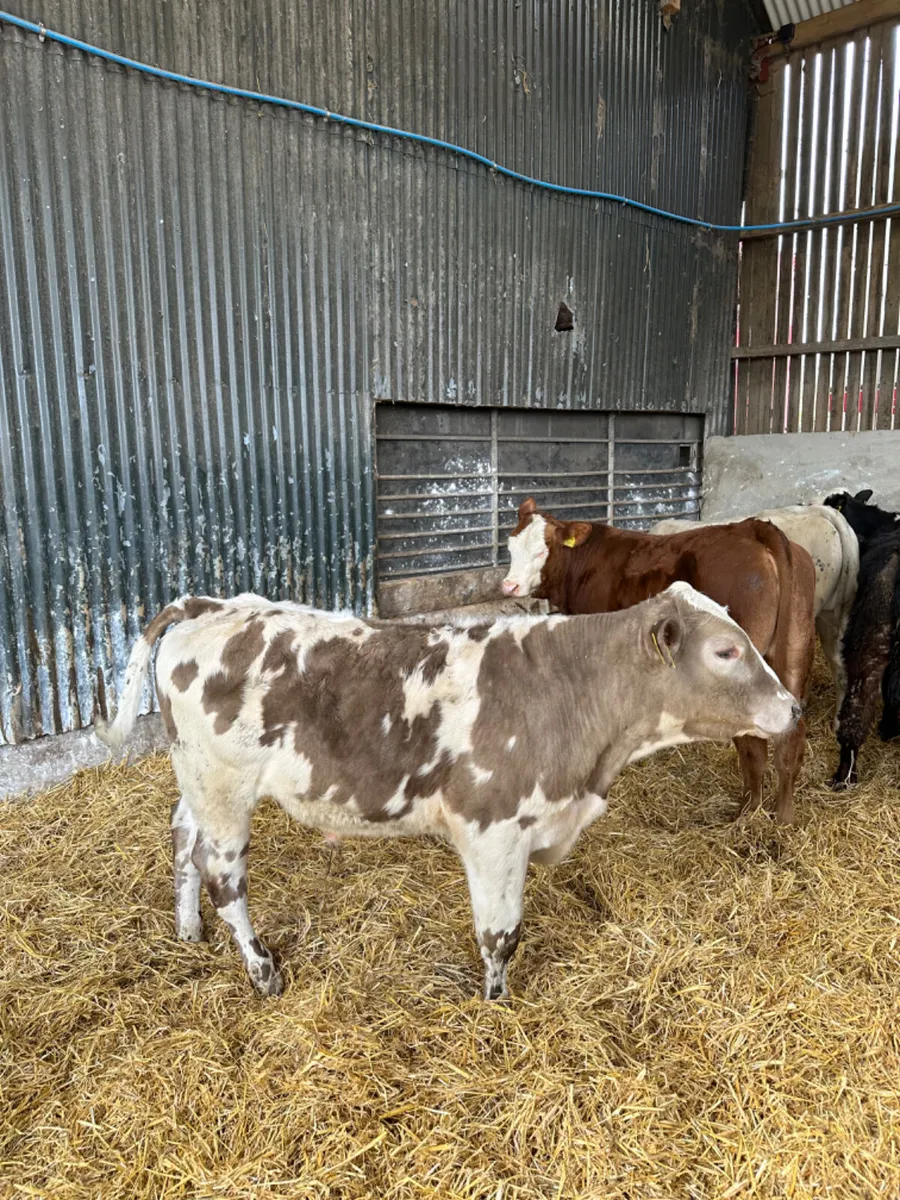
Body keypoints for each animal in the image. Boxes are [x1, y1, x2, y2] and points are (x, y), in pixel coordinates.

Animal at [94, 585, 800, 1002]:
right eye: (726, 650)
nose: (794, 707)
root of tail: (207, 604)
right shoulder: (494, 830)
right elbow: (500, 934)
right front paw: (496, 1004)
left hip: (195, 779)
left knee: (182, 837)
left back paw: (188, 932)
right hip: (224, 784)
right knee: (225, 877)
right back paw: (263, 971)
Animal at [502, 498, 817, 825]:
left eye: (541, 551)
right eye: (510, 546)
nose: (509, 586)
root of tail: (753, 529)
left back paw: (749, 810)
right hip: (794, 651)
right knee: (790, 739)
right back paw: (781, 817)